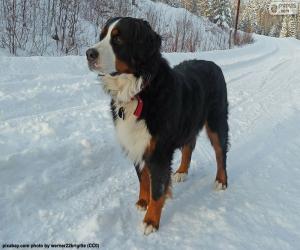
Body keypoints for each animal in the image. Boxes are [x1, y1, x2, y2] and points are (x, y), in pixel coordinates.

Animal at [86, 16, 230, 235]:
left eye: (118, 39)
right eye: (102, 36)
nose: (89, 53)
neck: (139, 92)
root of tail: (214, 64)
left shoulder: (159, 150)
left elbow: (158, 188)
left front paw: (150, 221)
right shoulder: (137, 143)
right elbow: (144, 179)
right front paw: (142, 202)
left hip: (216, 121)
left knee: (221, 153)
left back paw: (221, 181)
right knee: (189, 146)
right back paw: (182, 172)